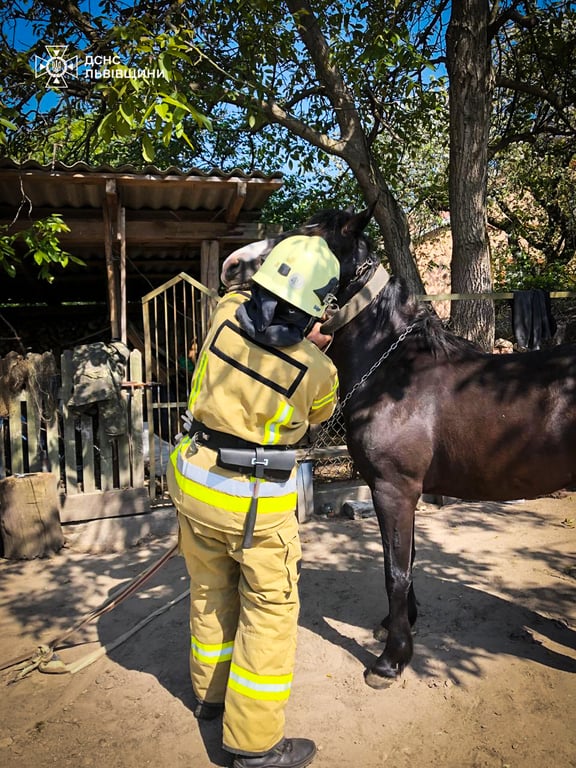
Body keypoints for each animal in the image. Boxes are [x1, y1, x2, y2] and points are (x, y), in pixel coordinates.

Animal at [222, 206, 576, 688]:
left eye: (308, 240)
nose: (232, 265)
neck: (396, 373)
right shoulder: (397, 491)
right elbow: (405, 561)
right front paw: (397, 625)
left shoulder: (395, 489)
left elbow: (396, 572)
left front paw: (390, 660)